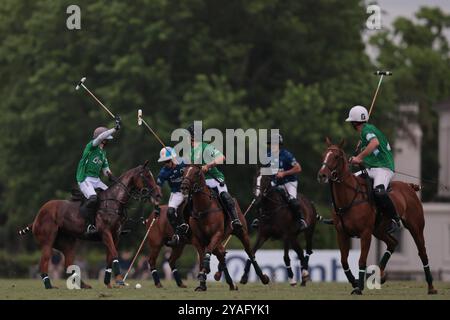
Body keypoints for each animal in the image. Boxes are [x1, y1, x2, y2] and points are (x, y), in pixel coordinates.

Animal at [20, 161, 163, 288]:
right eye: (146, 176)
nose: (158, 194)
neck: (114, 202)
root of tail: (37, 216)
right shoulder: (105, 232)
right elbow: (115, 254)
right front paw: (119, 280)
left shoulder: (115, 235)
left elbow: (109, 258)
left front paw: (108, 283)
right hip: (47, 241)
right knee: (43, 263)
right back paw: (49, 286)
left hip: (67, 243)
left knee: (68, 264)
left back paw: (83, 285)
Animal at [316, 138, 436, 296]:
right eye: (324, 154)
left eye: (336, 156)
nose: (322, 175)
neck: (348, 198)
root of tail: (409, 186)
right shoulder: (341, 233)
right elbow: (343, 261)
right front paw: (355, 282)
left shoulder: (365, 233)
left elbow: (361, 260)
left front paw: (359, 288)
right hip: (379, 230)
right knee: (393, 243)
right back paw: (380, 274)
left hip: (415, 226)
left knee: (422, 252)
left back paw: (431, 287)